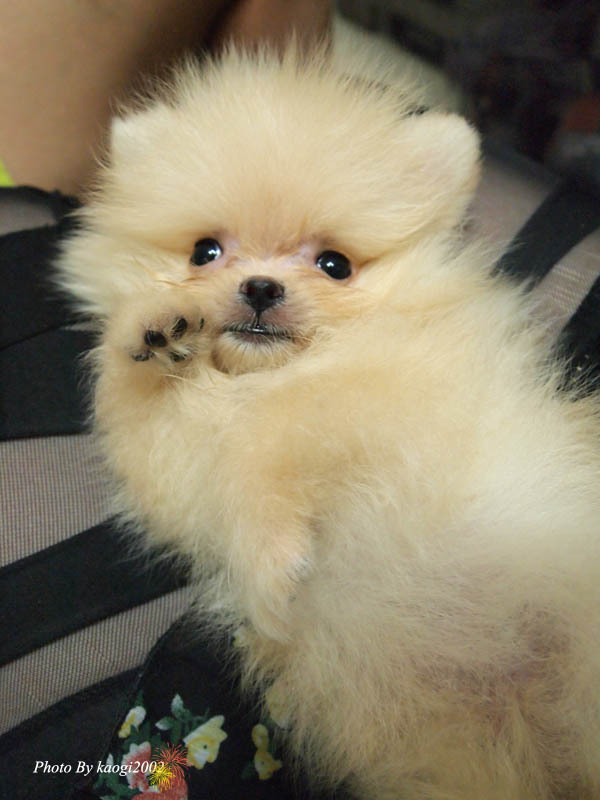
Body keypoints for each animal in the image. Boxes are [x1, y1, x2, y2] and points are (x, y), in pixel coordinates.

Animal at [56, 43, 600, 799]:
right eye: (204, 252)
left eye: (335, 264)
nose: (261, 286)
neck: (257, 381)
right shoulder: (176, 469)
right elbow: (137, 406)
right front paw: (154, 331)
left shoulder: (388, 402)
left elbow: (265, 443)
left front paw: (274, 567)